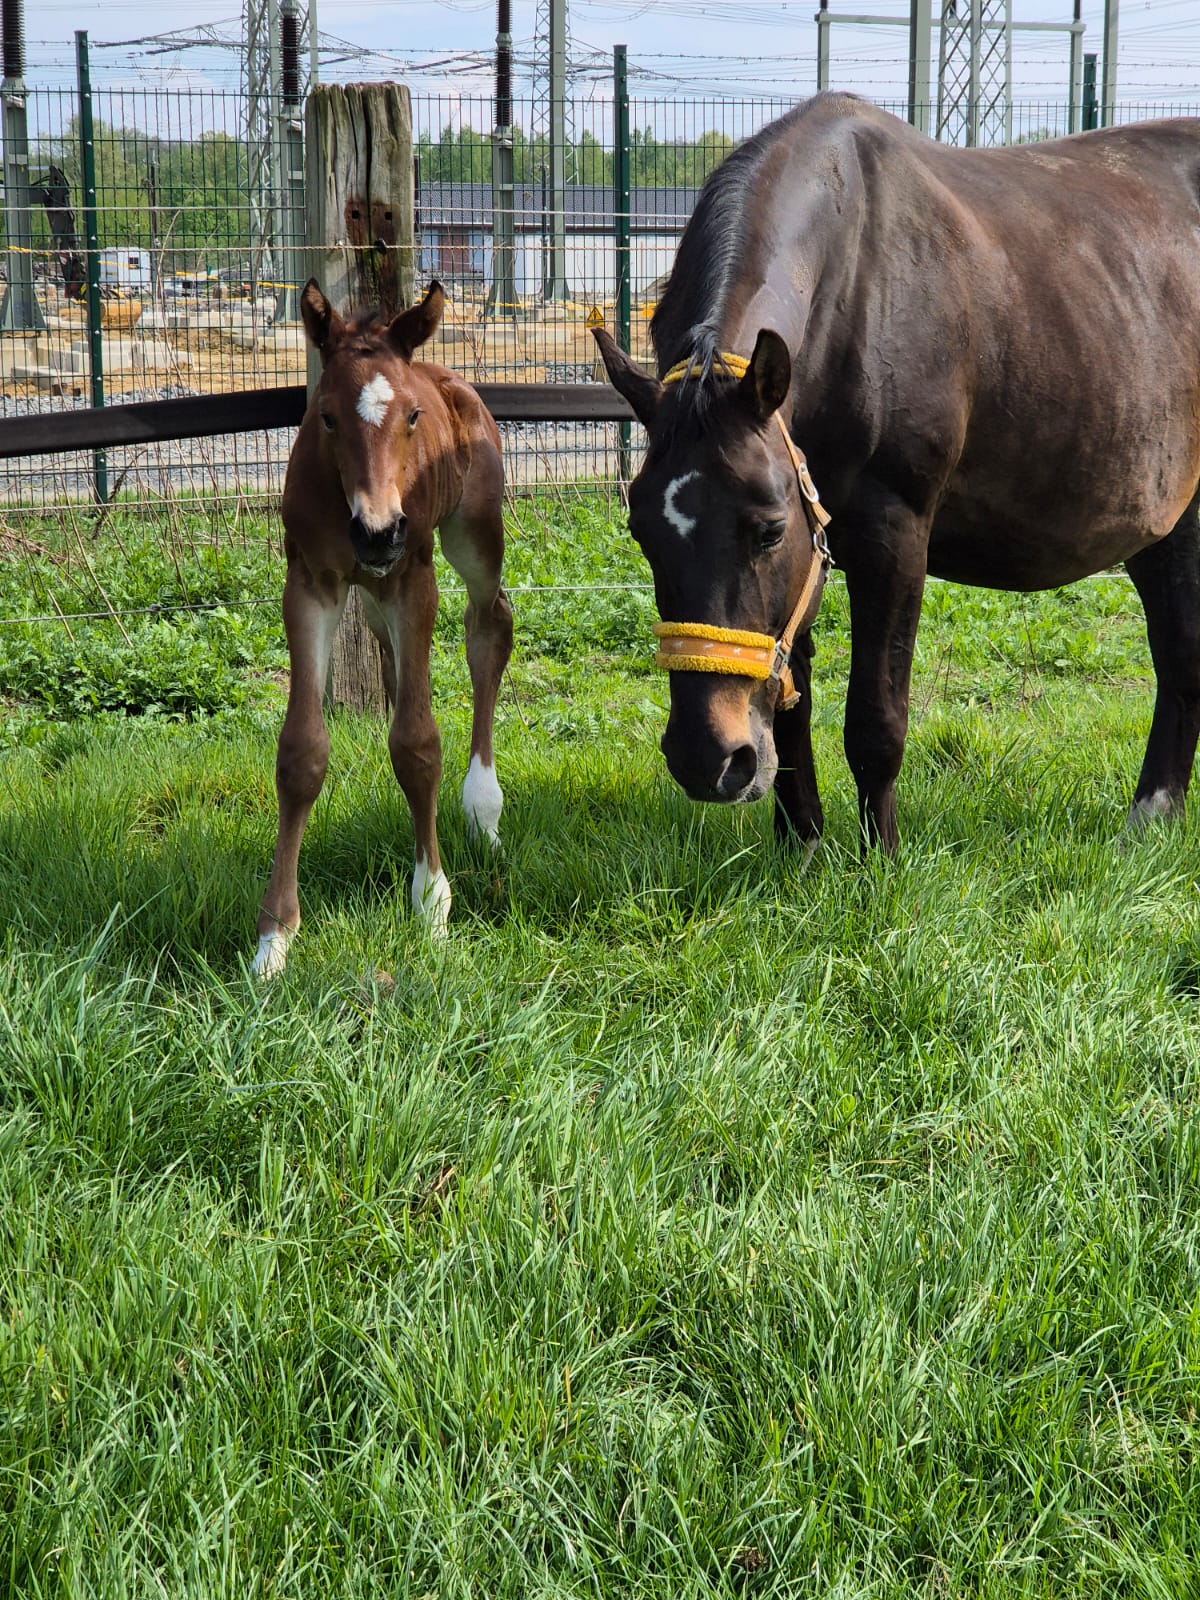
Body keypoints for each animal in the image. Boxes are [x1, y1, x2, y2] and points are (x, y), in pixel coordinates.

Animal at [252, 279, 513, 978]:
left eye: (414, 418)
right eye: (327, 416)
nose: (377, 530)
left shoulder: (410, 577)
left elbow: (418, 744)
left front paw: (432, 905)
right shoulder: (310, 584)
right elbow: (302, 752)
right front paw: (274, 938)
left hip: (474, 536)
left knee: (490, 625)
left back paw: (483, 807)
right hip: (369, 591)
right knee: (393, 655)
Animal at [593, 94, 1200, 855]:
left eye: (766, 531)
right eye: (642, 533)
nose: (709, 760)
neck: (855, 285)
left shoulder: (894, 535)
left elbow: (875, 722)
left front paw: (880, 856)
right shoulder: (814, 548)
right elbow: (792, 704)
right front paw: (802, 843)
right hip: (1166, 521)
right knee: (1179, 649)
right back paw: (1155, 812)